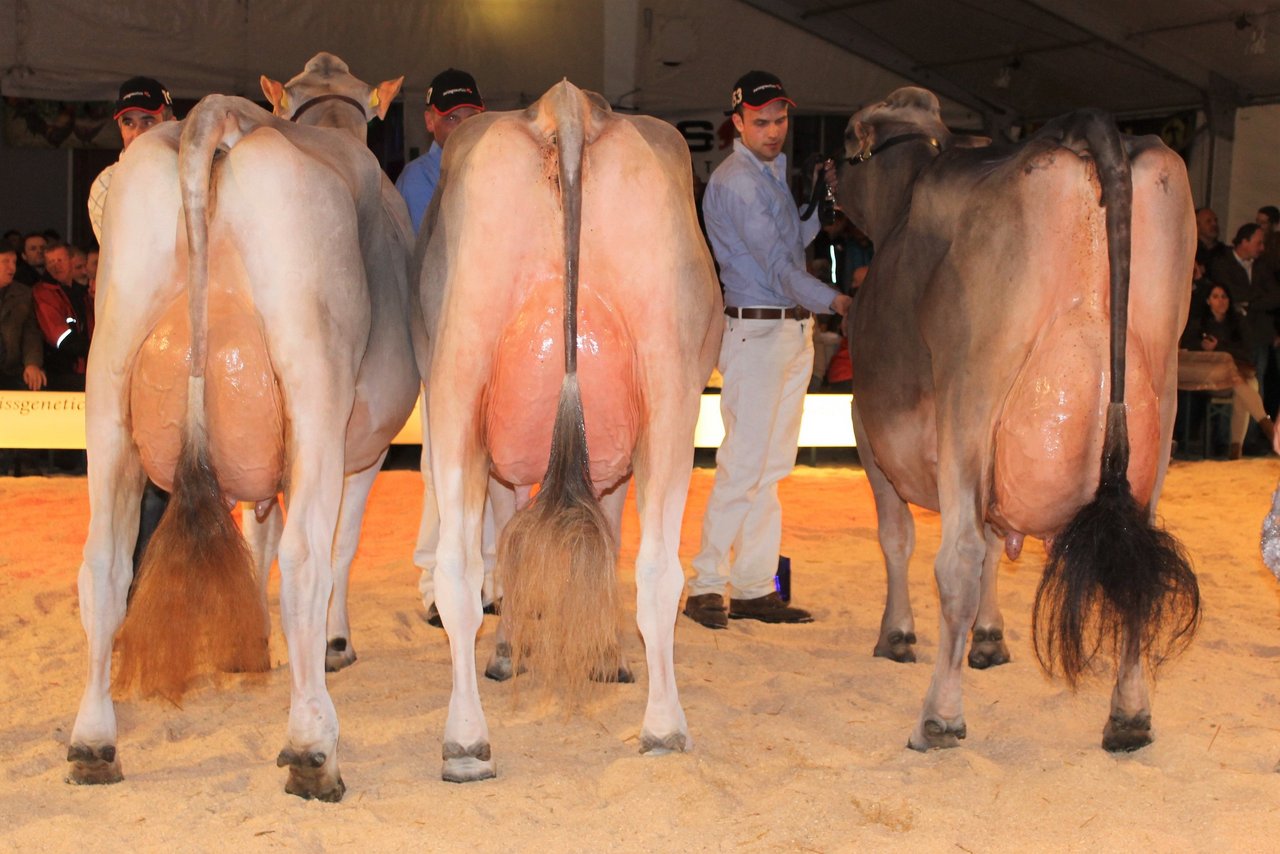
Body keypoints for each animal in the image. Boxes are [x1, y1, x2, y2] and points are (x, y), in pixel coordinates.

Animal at [66, 53, 414, 804]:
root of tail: (218, 115)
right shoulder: (363, 447)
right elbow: (336, 545)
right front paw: (333, 646)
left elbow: (258, 533)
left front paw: (248, 647)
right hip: (312, 385)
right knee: (308, 558)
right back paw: (313, 747)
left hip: (107, 383)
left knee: (104, 561)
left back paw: (92, 742)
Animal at [419, 80, 721, 783]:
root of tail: (566, 106)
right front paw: (598, 656)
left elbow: (508, 543)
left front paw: (511, 651)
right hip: (669, 387)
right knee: (656, 566)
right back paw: (663, 728)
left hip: (456, 378)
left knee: (460, 568)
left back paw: (466, 741)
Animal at [839, 88, 1198, 752]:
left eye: (848, 141)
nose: (820, 177)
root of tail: (1090, 131)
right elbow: (990, 545)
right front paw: (989, 639)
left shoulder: (863, 424)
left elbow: (901, 538)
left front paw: (897, 635)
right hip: (1159, 399)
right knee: (1141, 569)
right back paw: (1129, 718)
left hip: (971, 396)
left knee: (954, 558)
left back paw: (939, 717)